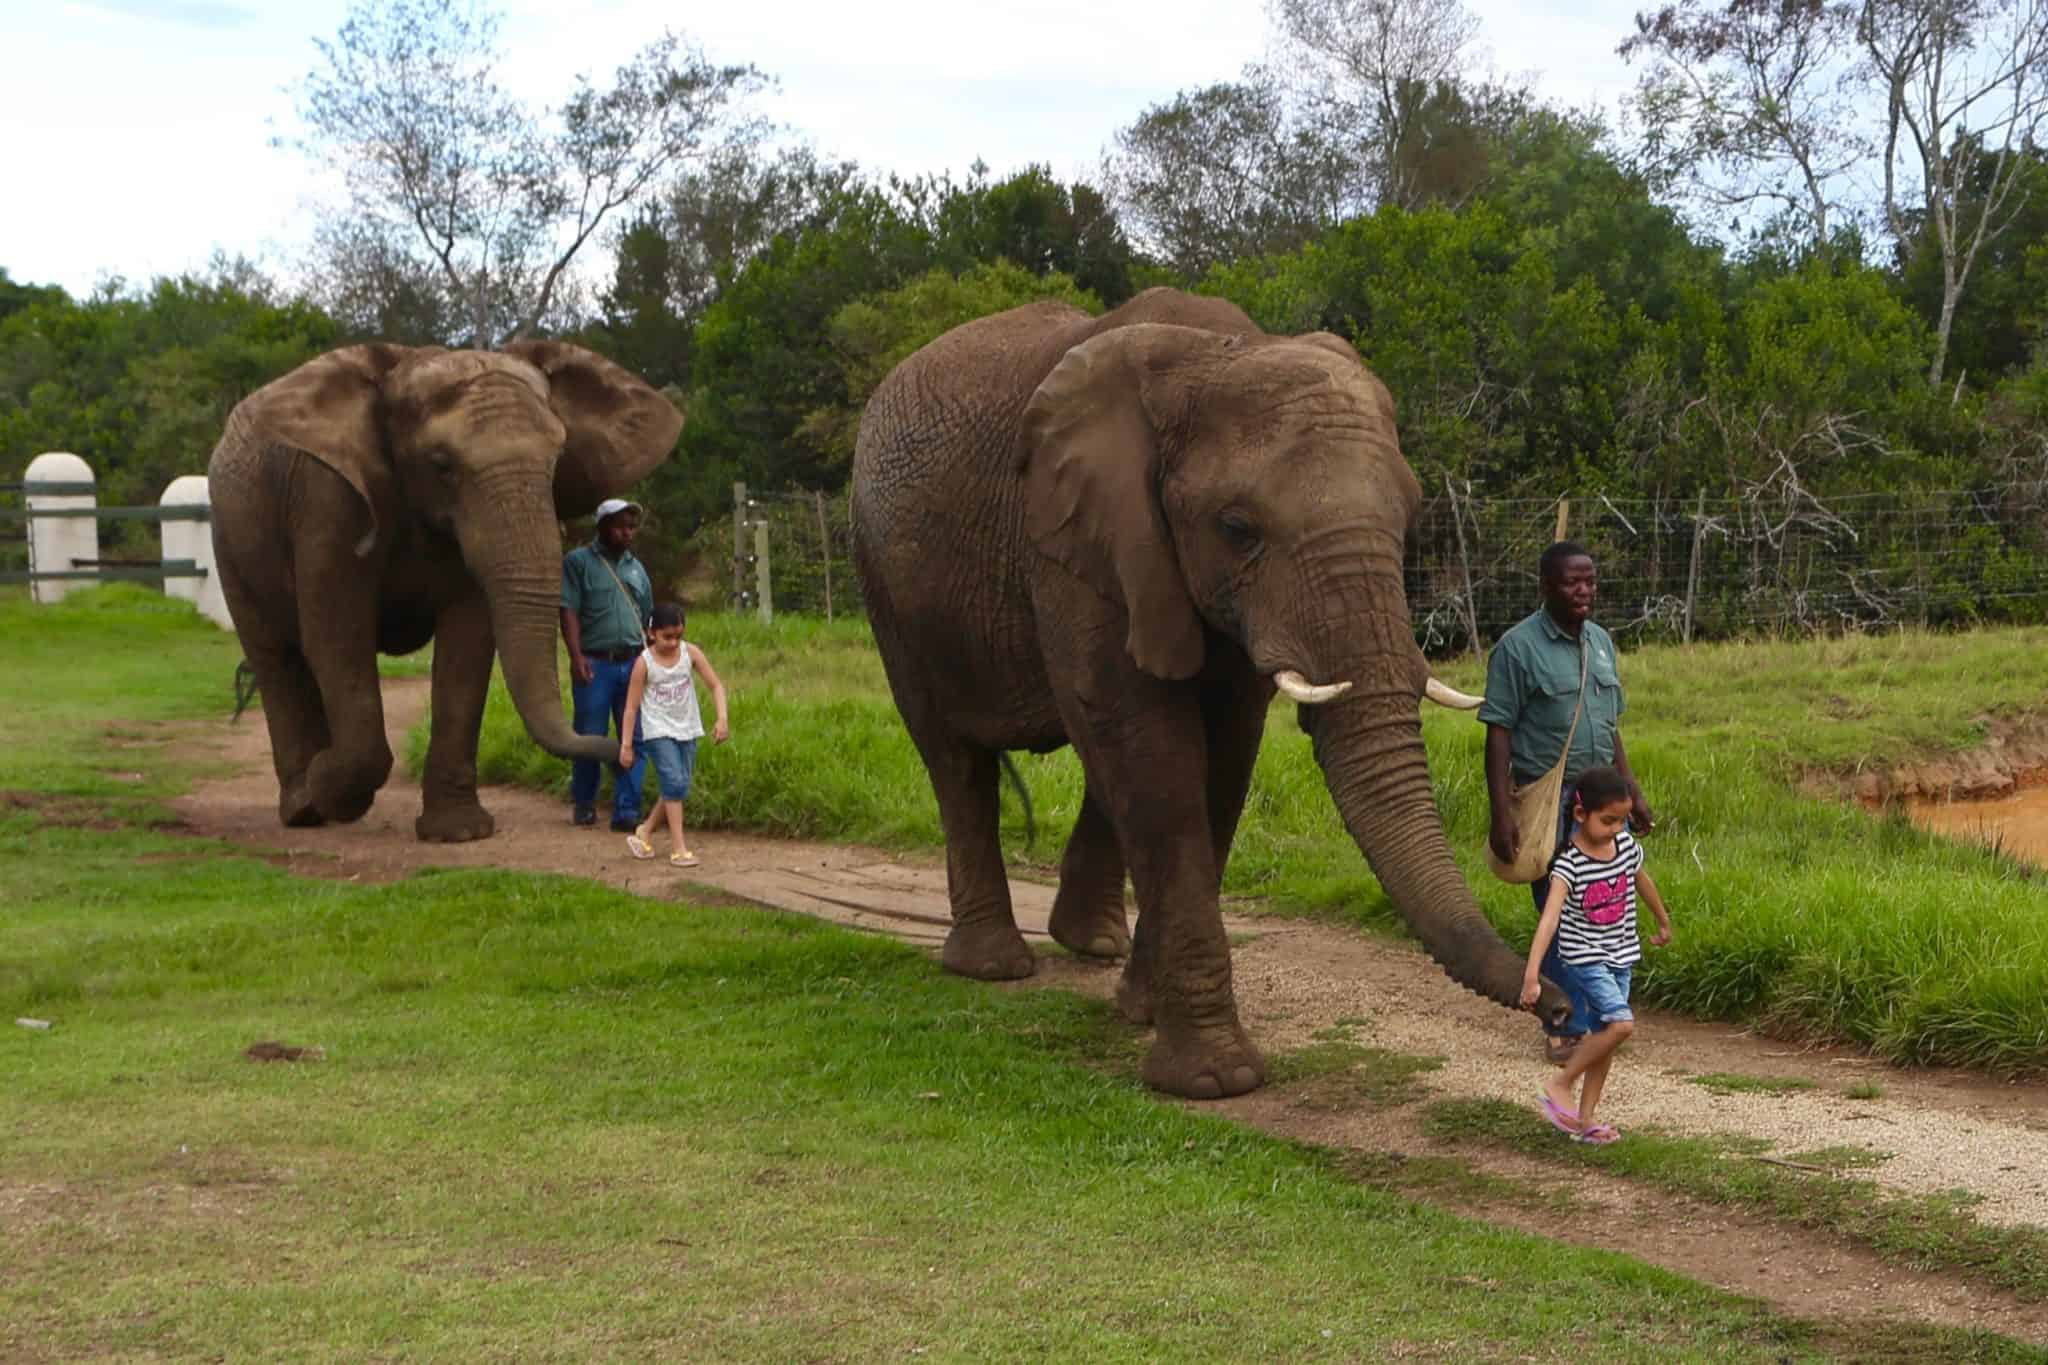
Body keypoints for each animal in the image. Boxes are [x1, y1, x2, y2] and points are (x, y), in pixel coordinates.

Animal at [207, 342, 683, 843]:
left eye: (557, 459)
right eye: (441, 465)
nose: (624, 754)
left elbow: (467, 646)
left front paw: (460, 833)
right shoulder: (327, 502)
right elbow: (337, 641)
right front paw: (330, 786)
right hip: (228, 536)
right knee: (275, 657)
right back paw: (303, 807)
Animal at [851, 287, 1570, 1100]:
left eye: (1411, 519)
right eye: (1237, 528)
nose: (1557, 1007)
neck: (1214, 354)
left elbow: (1221, 760)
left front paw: (1142, 1012)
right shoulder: (1081, 539)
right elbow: (1153, 759)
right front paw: (1214, 1079)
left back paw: (1092, 945)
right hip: (882, 576)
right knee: (955, 757)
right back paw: (993, 965)